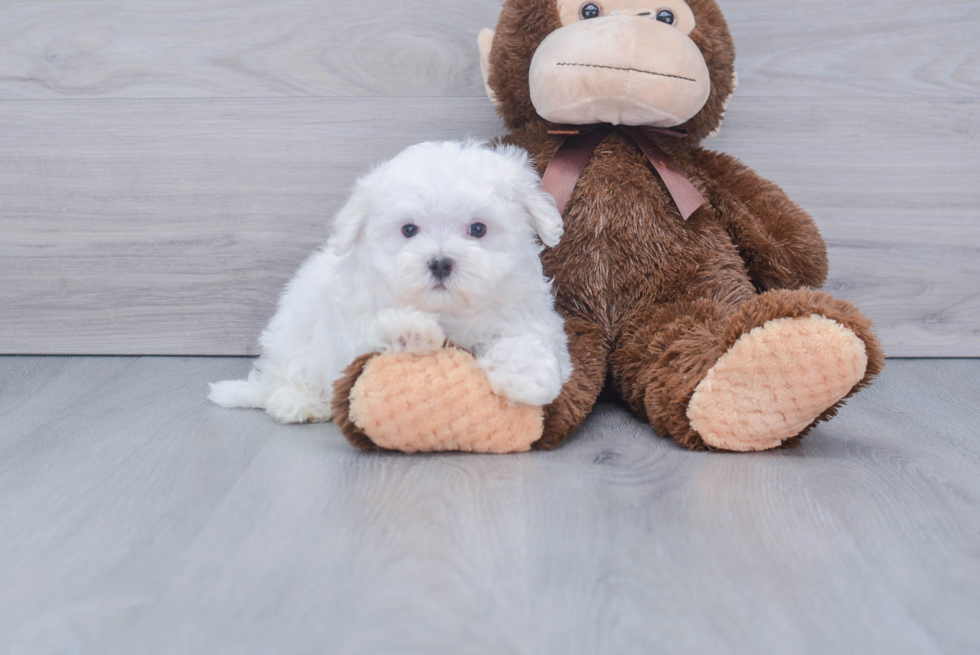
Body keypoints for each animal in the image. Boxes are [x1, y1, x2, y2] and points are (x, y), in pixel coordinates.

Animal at [209, 140, 576, 422]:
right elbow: (374, 337)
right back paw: (298, 402)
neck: (447, 310)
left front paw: (526, 378)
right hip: (294, 329)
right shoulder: (352, 332)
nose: (440, 263)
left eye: (478, 229)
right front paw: (409, 331)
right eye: (409, 229)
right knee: (289, 374)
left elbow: (526, 340)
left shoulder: (529, 315)